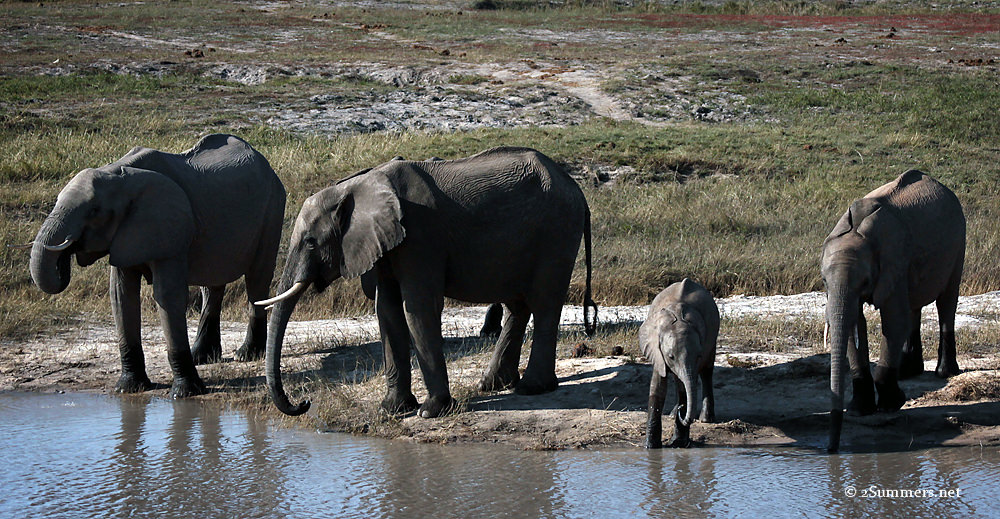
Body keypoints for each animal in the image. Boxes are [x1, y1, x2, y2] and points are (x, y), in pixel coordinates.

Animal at [29, 134, 286, 398]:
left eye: (94, 211)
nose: (67, 254)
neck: (119, 172)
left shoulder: (169, 228)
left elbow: (168, 296)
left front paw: (185, 393)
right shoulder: (125, 233)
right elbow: (121, 296)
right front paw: (128, 388)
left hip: (272, 209)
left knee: (257, 279)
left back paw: (247, 355)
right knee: (212, 284)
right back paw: (202, 357)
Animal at [257, 147, 597, 418]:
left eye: (310, 242)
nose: (304, 403)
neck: (357, 186)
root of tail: (577, 189)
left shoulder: (420, 238)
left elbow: (417, 308)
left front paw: (430, 412)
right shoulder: (385, 244)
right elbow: (387, 311)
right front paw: (392, 409)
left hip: (556, 232)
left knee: (544, 302)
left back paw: (532, 388)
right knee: (518, 304)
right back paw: (493, 385)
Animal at [640, 278, 719, 448]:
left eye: (698, 356)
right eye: (671, 356)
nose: (683, 411)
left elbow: (684, 388)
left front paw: (678, 443)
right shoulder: (657, 351)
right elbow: (657, 387)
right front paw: (650, 447)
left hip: (713, 338)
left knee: (706, 372)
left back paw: (705, 419)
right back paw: (674, 414)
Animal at [821, 169, 965, 453]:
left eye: (865, 281)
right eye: (823, 281)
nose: (831, 450)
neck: (858, 233)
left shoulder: (894, 261)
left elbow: (892, 321)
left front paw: (890, 406)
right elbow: (855, 325)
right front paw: (859, 411)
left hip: (959, 242)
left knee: (946, 301)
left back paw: (945, 372)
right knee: (914, 306)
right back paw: (909, 371)